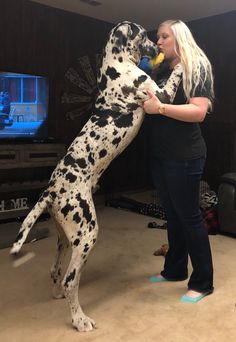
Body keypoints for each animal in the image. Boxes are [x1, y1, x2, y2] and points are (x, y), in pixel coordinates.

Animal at [10, 21, 182, 332]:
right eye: (144, 34)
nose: (156, 48)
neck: (116, 63)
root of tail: (50, 190)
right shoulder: (160, 95)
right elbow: (173, 78)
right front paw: (185, 64)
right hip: (87, 231)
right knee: (70, 280)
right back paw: (80, 320)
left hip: (66, 237)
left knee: (56, 270)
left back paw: (58, 295)